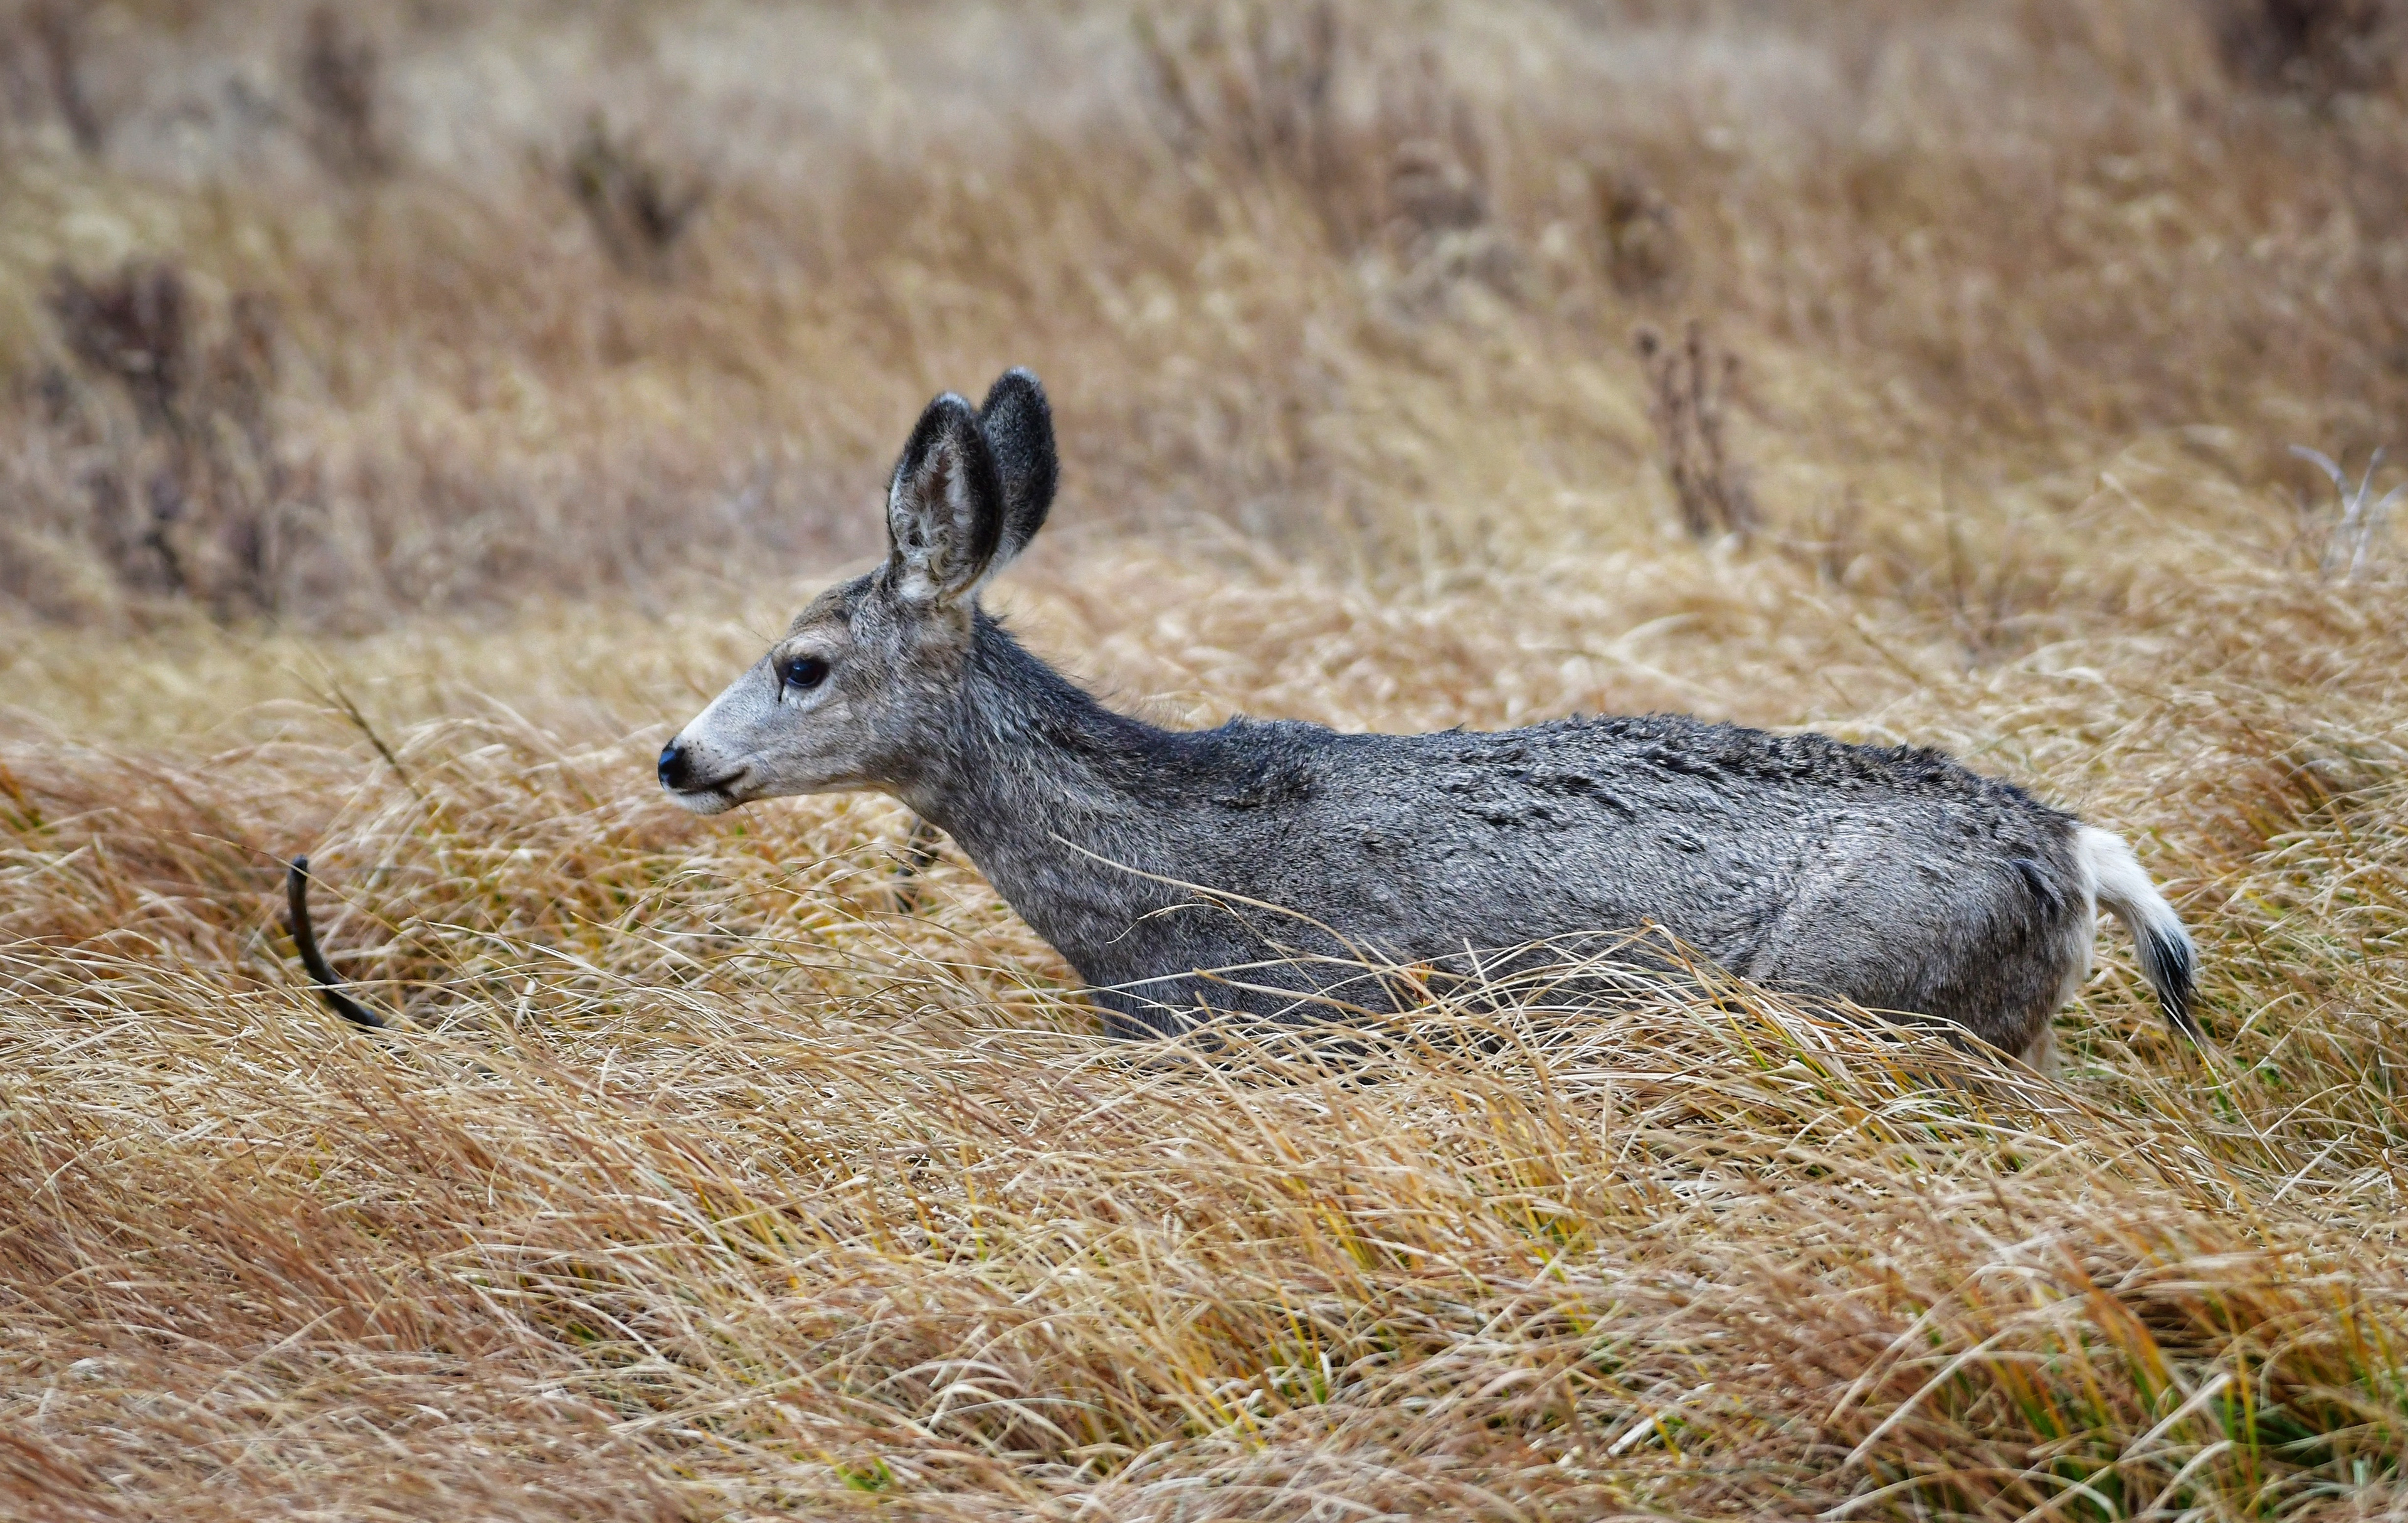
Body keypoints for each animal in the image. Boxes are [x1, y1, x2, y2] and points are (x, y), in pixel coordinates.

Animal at [635, 369, 2199, 1070]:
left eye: (802, 663)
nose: (677, 756)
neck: (1142, 883)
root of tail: (2081, 851)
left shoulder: (1302, 1019)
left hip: (1872, 992)